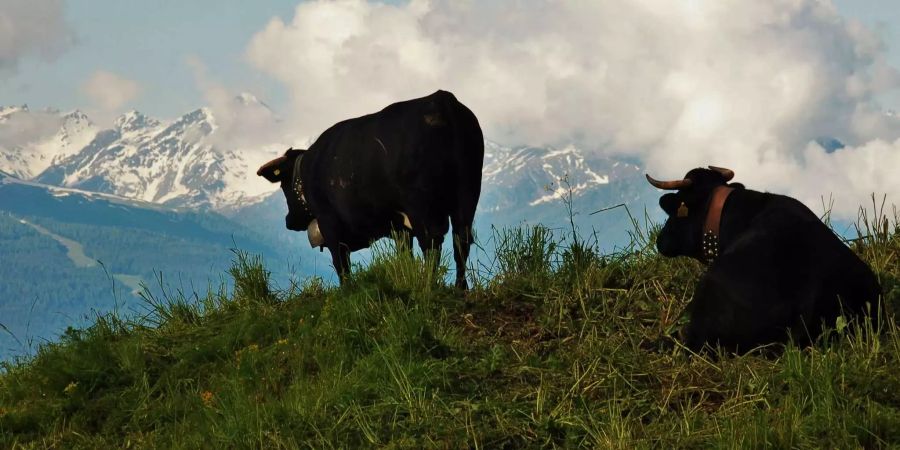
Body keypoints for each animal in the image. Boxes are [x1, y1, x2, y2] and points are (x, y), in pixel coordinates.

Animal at [256, 91, 486, 288]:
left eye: (283, 185)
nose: (289, 220)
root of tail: (442, 99)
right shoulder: (400, 227)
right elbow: (405, 255)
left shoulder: (329, 222)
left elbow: (341, 264)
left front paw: (347, 291)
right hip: (468, 193)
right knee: (461, 240)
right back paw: (460, 288)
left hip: (422, 204)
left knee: (432, 243)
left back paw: (430, 285)